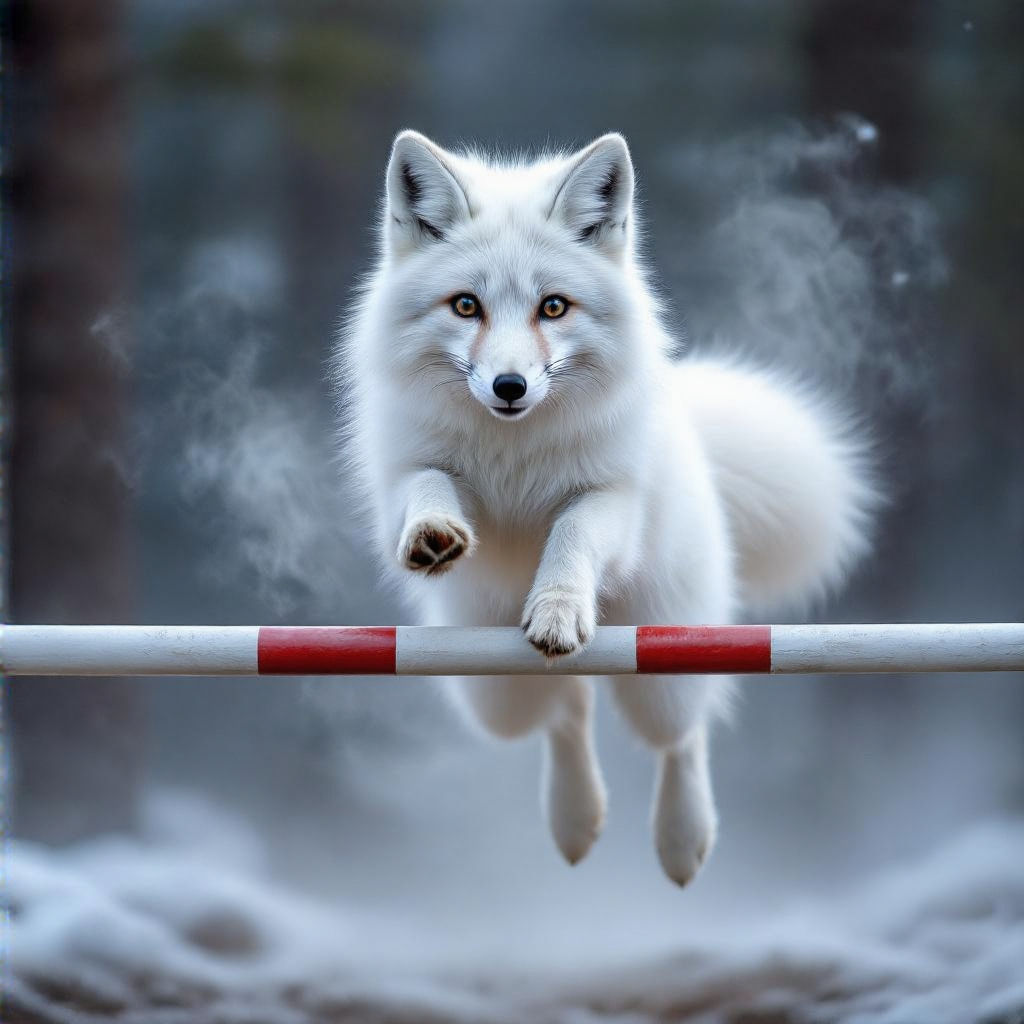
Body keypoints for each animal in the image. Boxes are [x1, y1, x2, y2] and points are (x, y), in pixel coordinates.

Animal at [336, 130, 875, 885]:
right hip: (489, 691)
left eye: (553, 307)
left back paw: (681, 839)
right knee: (567, 707)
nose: (509, 386)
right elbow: (428, 488)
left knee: (681, 735)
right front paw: (435, 533)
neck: (514, 453)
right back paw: (575, 818)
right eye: (466, 306)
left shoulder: (611, 500)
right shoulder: (407, 473)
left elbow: (571, 536)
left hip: (663, 669)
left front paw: (560, 606)